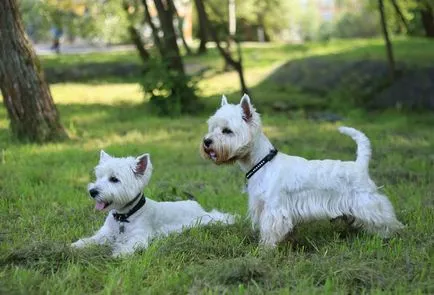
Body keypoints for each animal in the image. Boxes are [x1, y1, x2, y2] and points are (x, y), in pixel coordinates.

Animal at [72, 150, 234, 256]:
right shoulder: (106, 232)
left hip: (205, 219)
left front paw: (120, 252)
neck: (124, 216)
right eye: (99, 177)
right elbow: (92, 239)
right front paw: (77, 245)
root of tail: (196, 204)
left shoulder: (140, 235)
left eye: (114, 179)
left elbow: (131, 244)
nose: (92, 191)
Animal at [200, 95, 404, 247]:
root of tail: (359, 164)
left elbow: (270, 230)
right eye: (212, 127)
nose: (206, 142)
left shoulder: (274, 208)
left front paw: (265, 249)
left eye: (227, 131)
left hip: (366, 201)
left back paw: (390, 234)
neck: (262, 162)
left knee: (385, 217)